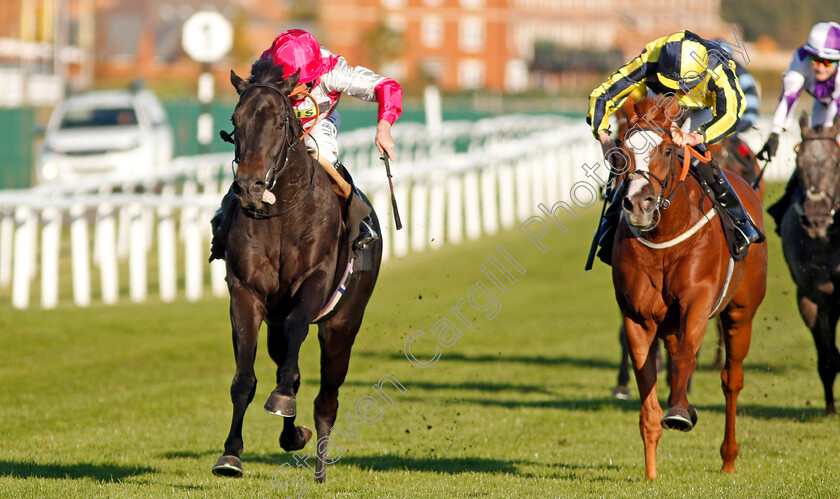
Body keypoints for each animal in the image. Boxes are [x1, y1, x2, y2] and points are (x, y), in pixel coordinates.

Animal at [210, 60, 384, 482]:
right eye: (236, 121)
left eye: (278, 123)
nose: (249, 188)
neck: (280, 216)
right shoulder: (246, 293)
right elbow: (245, 379)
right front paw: (230, 454)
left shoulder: (314, 284)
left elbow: (294, 347)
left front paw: (283, 400)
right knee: (286, 362)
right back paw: (293, 436)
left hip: (343, 324)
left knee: (327, 398)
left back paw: (319, 467)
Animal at [612, 96, 764, 480]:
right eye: (621, 150)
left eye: (667, 149)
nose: (639, 205)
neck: (664, 235)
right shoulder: (638, 316)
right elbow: (648, 387)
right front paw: (651, 472)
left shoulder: (698, 300)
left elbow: (684, 358)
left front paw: (680, 412)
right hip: (669, 320)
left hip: (741, 313)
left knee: (731, 379)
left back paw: (728, 458)